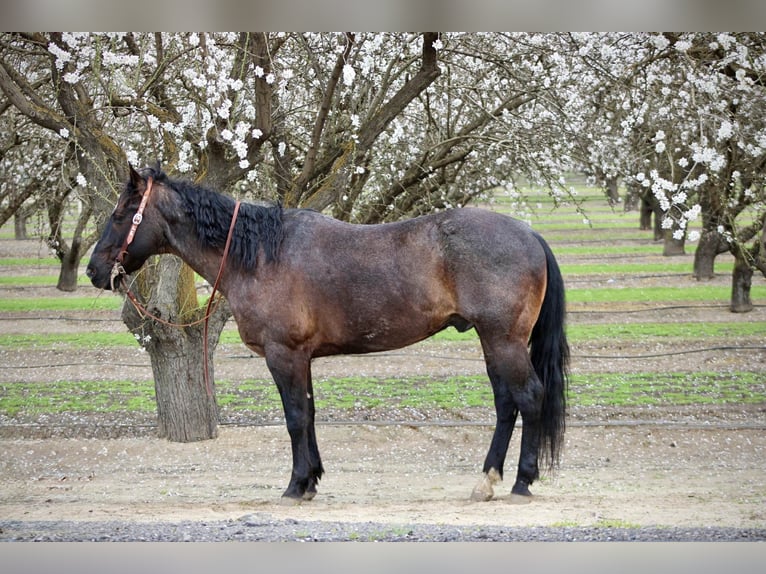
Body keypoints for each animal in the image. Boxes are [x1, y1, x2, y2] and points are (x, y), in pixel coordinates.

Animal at [86, 164, 570, 503]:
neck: (261, 254)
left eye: (120, 213)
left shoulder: (283, 354)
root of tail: (530, 233)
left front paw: (295, 485)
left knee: (529, 397)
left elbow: (295, 418)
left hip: (503, 340)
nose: (94, 270)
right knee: (506, 404)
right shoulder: (302, 358)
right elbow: (310, 414)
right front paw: (312, 481)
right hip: (494, 342)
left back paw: (522, 481)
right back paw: (487, 481)